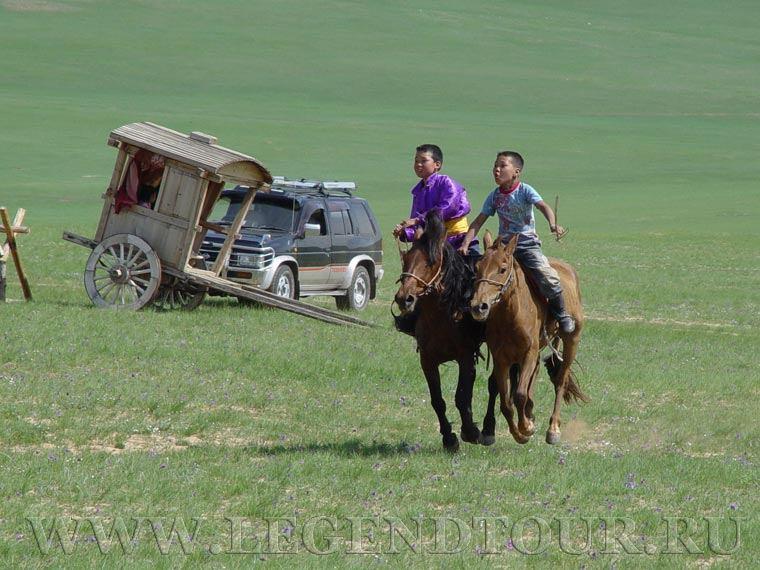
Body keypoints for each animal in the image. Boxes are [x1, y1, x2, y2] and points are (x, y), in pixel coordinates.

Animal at [394, 211, 484, 450]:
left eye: (430, 262)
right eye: (406, 259)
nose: (404, 298)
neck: (441, 318)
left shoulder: (466, 357)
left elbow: (462, 397)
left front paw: (471, 432)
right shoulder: (427, 360)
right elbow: (437, 400)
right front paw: (449, 438)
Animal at [470, 232, 588, 444]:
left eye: (502, 269)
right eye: (477, 268)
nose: (478, 306)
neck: (511, 314)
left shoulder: (528, 354)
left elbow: (519, 394)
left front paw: (526, 428)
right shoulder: (501, 360)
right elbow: (505, 402)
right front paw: (518, 433)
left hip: (571, 341)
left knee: (560, 380)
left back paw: (553, 429)